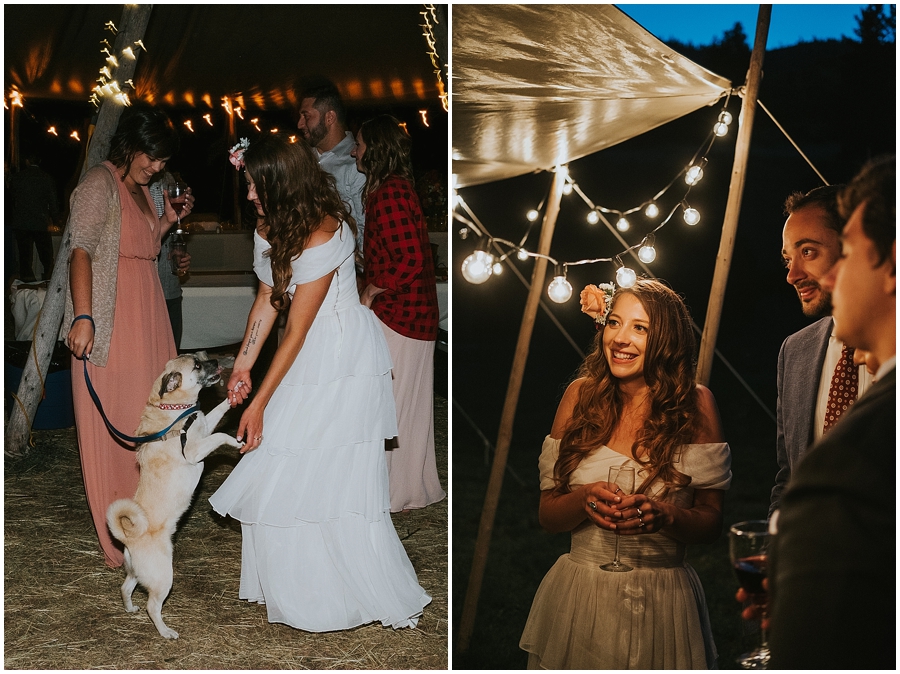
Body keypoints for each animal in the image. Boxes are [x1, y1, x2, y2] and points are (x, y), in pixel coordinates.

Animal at [106, 354, 243, 636]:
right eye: (197, 365)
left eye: (202, 358)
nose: (216, 360)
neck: (176, 408)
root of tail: (130, 538)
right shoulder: (194, 450)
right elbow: (220, 435)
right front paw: (236, 442)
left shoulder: (204, 426)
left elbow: (218, 412)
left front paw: (233, 395)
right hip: (163, 578)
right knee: (152, 606)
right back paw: (166, 631)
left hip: (136, 574)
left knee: (125, 588)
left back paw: (130, 608)